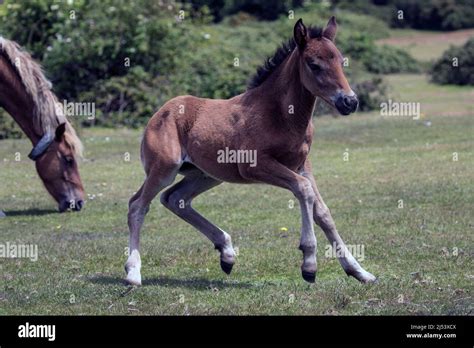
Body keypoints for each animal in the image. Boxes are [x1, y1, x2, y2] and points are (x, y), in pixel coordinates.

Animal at [124, 17, 376, 286]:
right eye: (314, 65)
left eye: (340, 60)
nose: (349, 102)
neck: (281, 115)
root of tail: (160, 111)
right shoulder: (255, 166)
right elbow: (304, 190)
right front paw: (309, 264)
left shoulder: (302, 165)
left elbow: (323, 212)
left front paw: (359, 271)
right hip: (165, 168)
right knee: (137, 205)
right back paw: (133, 273)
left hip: (206, 175)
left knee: (175, 199)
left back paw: (227, 253)